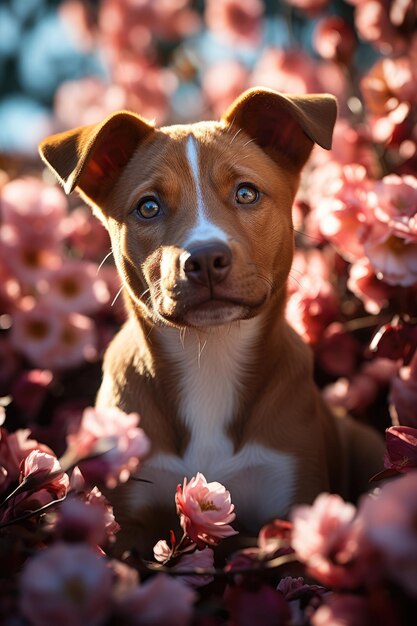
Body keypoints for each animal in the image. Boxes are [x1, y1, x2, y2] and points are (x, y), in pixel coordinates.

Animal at [39, 86, 384, 552]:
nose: (204, 259)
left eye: (246, 194)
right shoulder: (126, 517)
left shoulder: (290, 496)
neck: (211, 352)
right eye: (148, 207)